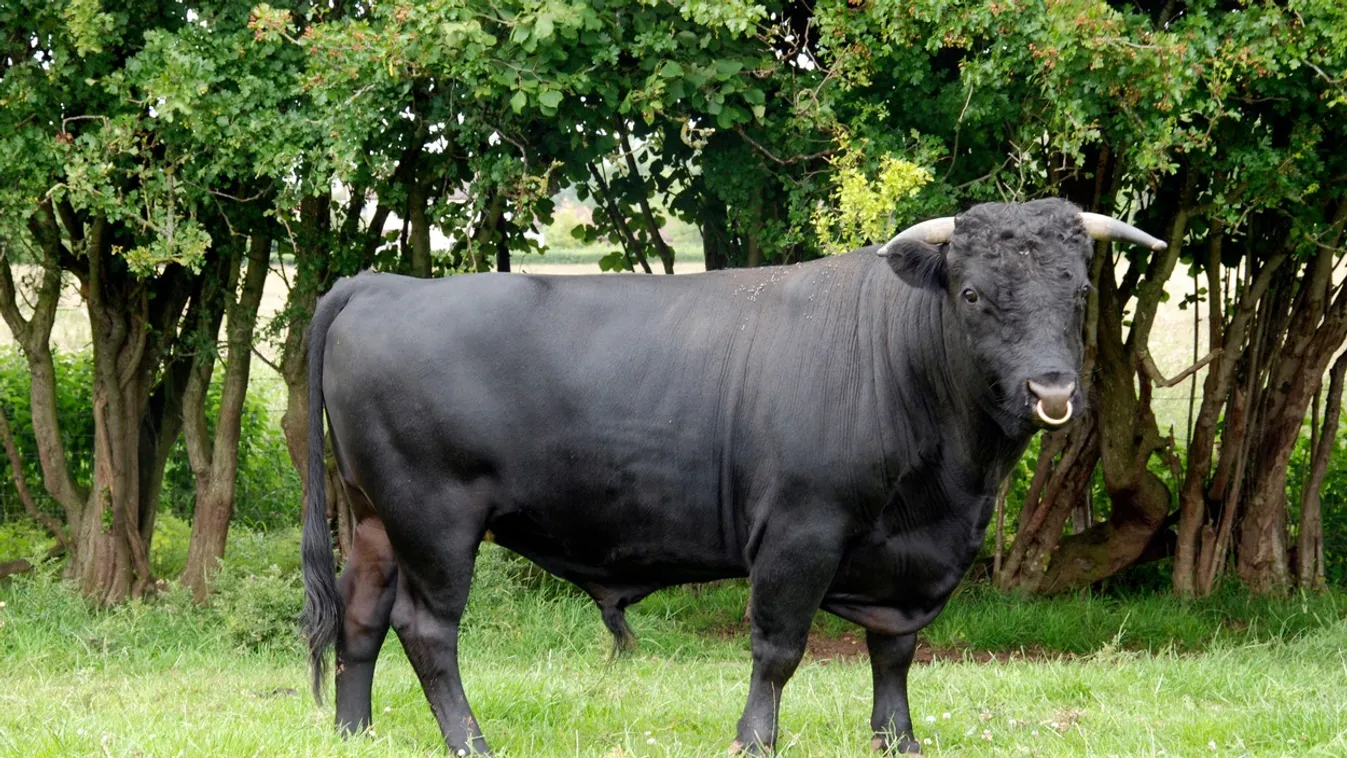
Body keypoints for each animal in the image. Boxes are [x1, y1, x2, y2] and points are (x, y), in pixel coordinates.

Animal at [299, 198, 1166, 755]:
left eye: (1079, 291)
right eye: (974, 292)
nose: (1050, 389)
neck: (949, 491)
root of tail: (379, 284)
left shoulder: (908, 559)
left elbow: (894, 651)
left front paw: (898, 742)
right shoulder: (799, 531)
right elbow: (778, 649)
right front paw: (754, 742)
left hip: (374, 517)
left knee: (361, 616)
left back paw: (354, 733)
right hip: (433, 516)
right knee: (425, 629)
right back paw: (468, 742)